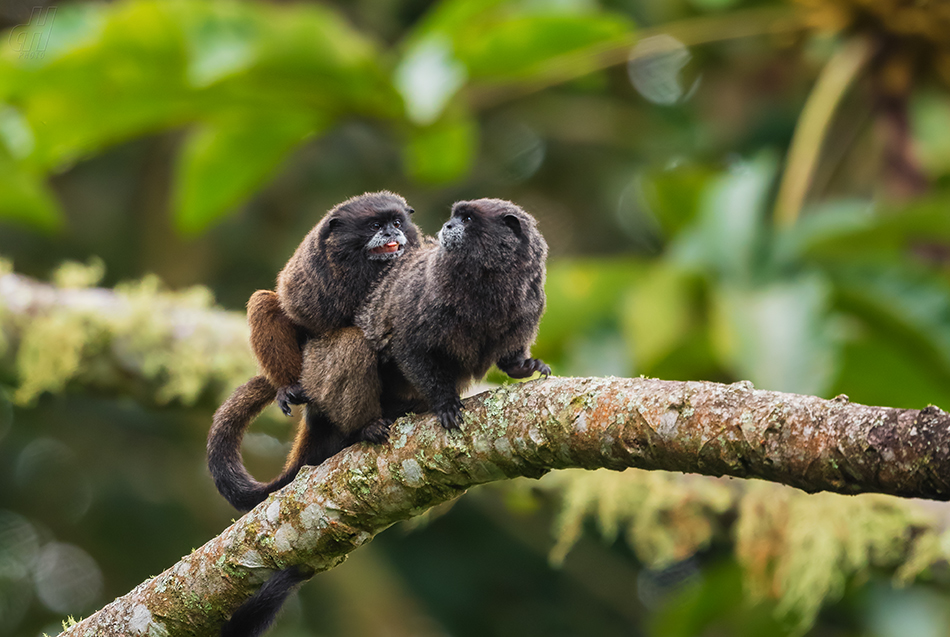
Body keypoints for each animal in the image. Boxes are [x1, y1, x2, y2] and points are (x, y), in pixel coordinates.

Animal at [210, 190, 422, 512]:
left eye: (397, 222)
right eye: (375, 226)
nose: (391, 233)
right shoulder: (307, 278)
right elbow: (288, 311)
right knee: (266, 302)